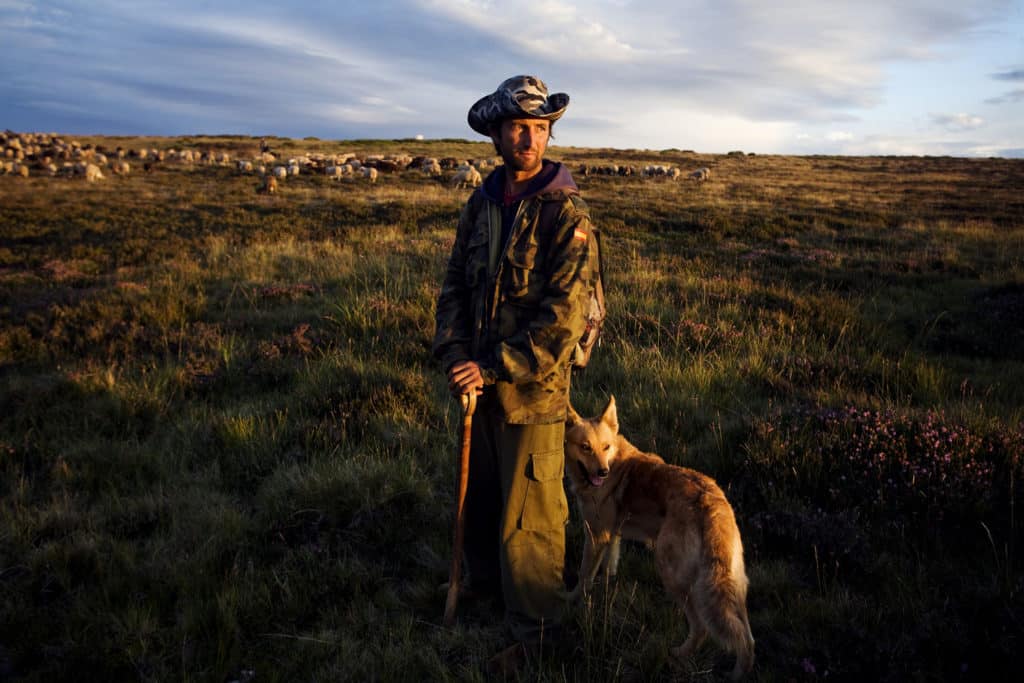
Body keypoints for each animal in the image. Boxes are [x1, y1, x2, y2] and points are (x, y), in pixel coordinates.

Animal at [565, 395, 757, 679]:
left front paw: (573, 601)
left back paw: (680, 654)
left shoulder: (596, 535)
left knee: (702, 628)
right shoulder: (612, 536)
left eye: (605, 447)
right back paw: (740, 671)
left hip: (672, 575)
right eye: (585, 447)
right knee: (747, 637)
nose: (602, 472)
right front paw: (605, 595)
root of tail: (711, 504)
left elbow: (583, 576)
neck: (615, 462)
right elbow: (609, 570)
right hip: (732, 585)